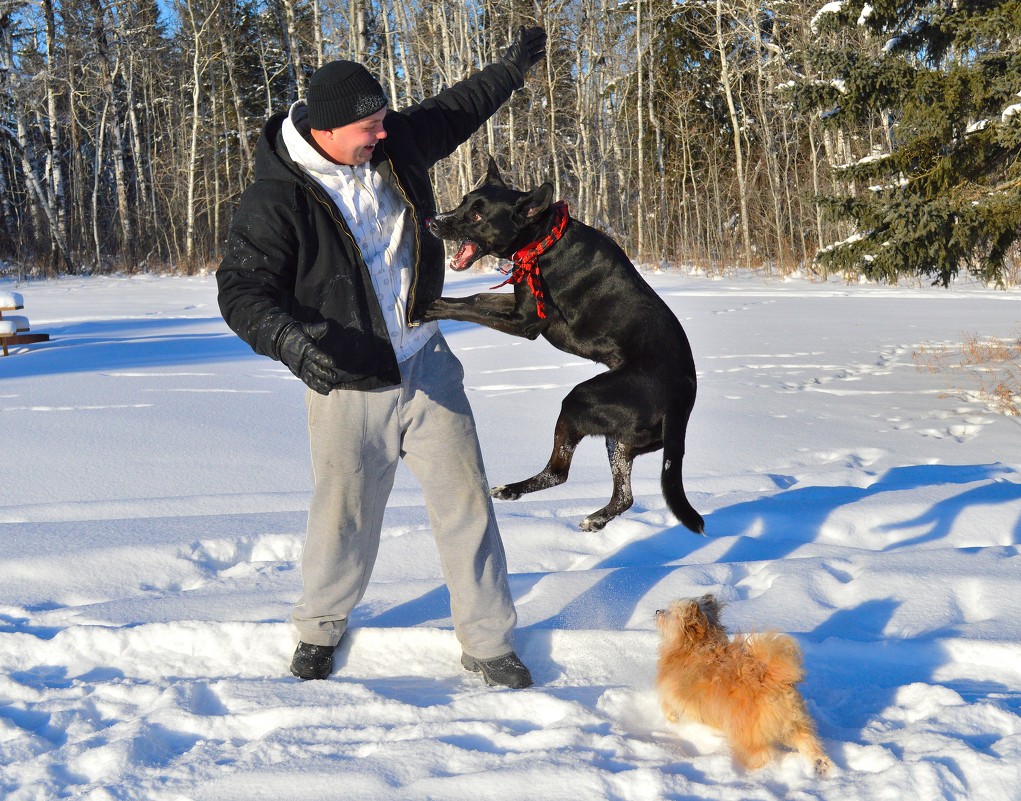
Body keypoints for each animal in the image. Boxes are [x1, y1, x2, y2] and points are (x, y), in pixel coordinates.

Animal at [422, 157, 702, 534]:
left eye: (477, 215)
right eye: (464, 201)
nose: (432, 221)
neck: (542, 239)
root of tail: (682, 402)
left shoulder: (525, 321)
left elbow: (469, 307)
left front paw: (428, 306)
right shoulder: (517, 302)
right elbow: (477, 298)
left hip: (580, 400)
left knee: (559, 472)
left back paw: (511, 489)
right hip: (620, 439)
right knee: (623, 496)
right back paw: (594, 519)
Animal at [653, 591, 829, 775]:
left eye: (670, 613)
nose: (658, 611)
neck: (695, 646)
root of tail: (773, 680)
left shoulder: (672, 695)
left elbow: (668, 707)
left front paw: (671, 720)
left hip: (746, 735)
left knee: (762, 755)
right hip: (794, 725)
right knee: (808, 741)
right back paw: (820, 763)